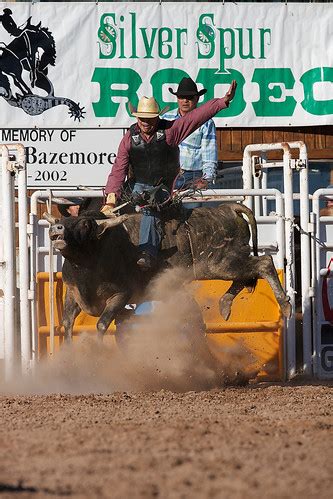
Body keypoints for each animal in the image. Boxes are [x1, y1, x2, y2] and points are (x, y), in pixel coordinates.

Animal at [44, 203, 290, 344]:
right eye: (62, 221)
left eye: (85, 224)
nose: (57, 229)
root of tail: (227, 208)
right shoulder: (73, 294)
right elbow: (67, 324)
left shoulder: (121, 294)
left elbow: (102, 323)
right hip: (225, 263)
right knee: (247, 274)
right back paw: (225, 303)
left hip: (219, 263)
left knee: (263, 263)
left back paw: (284, 305)